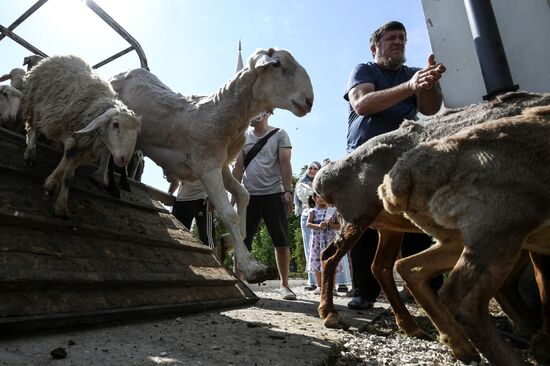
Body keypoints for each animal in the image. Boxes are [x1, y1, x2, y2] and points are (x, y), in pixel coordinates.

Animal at [23, 54, 142, 217]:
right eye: (115, 124)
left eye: (136, 132)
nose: (124, 159)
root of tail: (49, 58)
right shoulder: (72, 133)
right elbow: (68, 153)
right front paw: (52, 183)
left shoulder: (85, 149)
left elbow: (69, 177)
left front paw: (61, 206)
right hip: (36, 101)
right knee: (33, 128)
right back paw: (30, 153)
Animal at [111, 48, 314, 284]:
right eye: (277, 64)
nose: (309, 100)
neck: (220, 110)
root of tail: (125, 71)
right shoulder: (207, 166)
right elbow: (229, 213)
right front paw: (252, 268)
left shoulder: (222, 165)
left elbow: (243, 195)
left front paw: (228, 242)